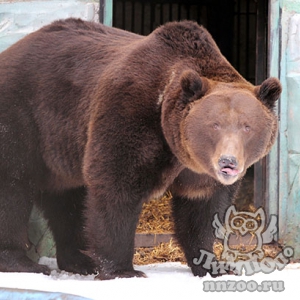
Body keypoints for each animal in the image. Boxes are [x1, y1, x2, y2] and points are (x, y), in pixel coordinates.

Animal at [0, 17, 282, 278]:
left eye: (247, 126)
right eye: (214, 125)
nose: (228, 162)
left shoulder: (199, 171)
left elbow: (201, 210)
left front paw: (214, 265)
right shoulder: (131, 114)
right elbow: (117, 187)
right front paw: (123, 270)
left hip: (59, 149)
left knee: (66, 200)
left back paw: (80, 261)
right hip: (23, 116)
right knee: (13, 187)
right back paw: (23, 262)